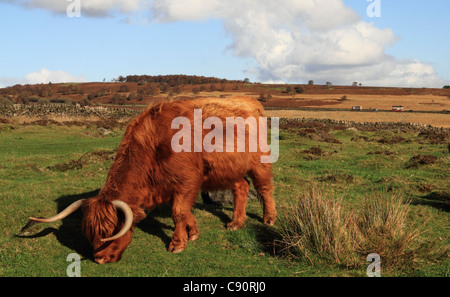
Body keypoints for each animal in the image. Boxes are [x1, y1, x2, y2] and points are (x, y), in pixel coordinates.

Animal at [27, 96, 278, 262]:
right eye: (91, 235)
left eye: (111, 233)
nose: (100, 259)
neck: (154, 144)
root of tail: (249, 99)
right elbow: (184, 211)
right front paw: (193, 232)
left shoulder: (188, 180)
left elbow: (178, 211)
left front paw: (177, 244)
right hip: (228, 169)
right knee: (241, 187)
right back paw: (235, 223)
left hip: (259, 161)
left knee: (264, 188)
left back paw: (269, 218)